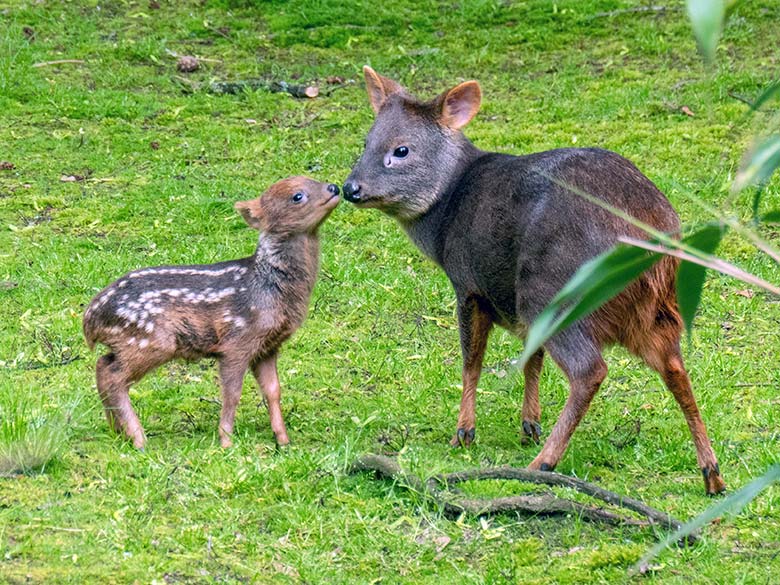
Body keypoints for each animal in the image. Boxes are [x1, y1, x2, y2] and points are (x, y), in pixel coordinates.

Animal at [84, 176, 340, 450]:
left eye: (313, 179)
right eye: (297, 196)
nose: (335, 187)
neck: (269, 286)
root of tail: (89, 321)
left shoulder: (268, 345)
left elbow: (273, 390)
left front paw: (283, 440)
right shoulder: (237, 341)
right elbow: (232, 393)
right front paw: (226, 441)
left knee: (102, 365)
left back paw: (117, 431)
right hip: (148, 339)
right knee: (112, 376)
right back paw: (138, 438)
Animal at [342, 67, 724, 492]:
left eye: (402, 150)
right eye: (366, 142)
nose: (350, 188)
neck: (447, 216)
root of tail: (649, 234)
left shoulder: (469, 283)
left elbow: (472, 360)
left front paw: (464, 432)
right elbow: (531, 358)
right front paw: (529, 425)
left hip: (554, 288)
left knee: (590, 370)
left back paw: (544, 462)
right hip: (654, 308)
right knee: (675, 367)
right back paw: (712, 472)